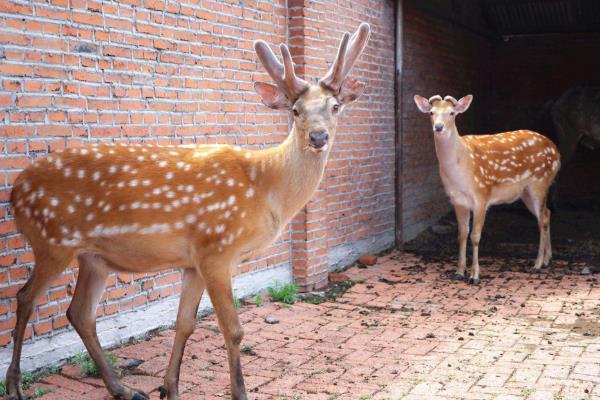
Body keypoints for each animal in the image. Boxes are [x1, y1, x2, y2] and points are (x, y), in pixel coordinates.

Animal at [5, 24, 370, 400]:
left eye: (335, 106)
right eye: (295, 110)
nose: (318, 137)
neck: (265, 189)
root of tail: (16, 192)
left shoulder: (193, 261)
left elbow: (185, 323)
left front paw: (169, 388)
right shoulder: (216, 249)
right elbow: (232, 329)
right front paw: (239, 393)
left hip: (93, 258)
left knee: (79, 312)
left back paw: (122, 388)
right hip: (52, 240)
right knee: (25, 298)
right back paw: (15, 385)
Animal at [412, 94, 564, 284]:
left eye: (452, 113)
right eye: (431, 112)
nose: (438, 127)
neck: (461, 166)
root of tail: (557, 152)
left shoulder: (481, 195)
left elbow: (475, 236)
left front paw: (475, 276)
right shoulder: (457, 200)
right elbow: (462, 234)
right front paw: (459, 272)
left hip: (540, 182)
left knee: (542, 218)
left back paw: (537, 264)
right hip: (526, 192)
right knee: (547, 213)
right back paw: (547, 259)